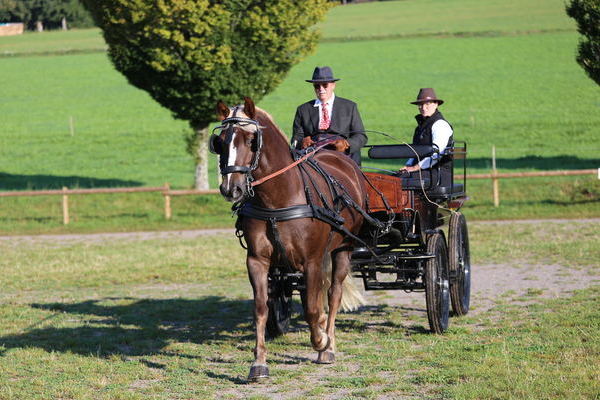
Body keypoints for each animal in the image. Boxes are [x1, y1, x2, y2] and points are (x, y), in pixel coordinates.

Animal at [211, 97, 370, 382]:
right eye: (220, 141)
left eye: (251, 140)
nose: (231, 188)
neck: (279, 198)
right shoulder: (257, 261)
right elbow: (261, 308)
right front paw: (259, 363)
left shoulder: (312, 261)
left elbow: (312, 308)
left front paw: (321, 342)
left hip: (343, 248)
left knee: (333, 293)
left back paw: (329, 344)